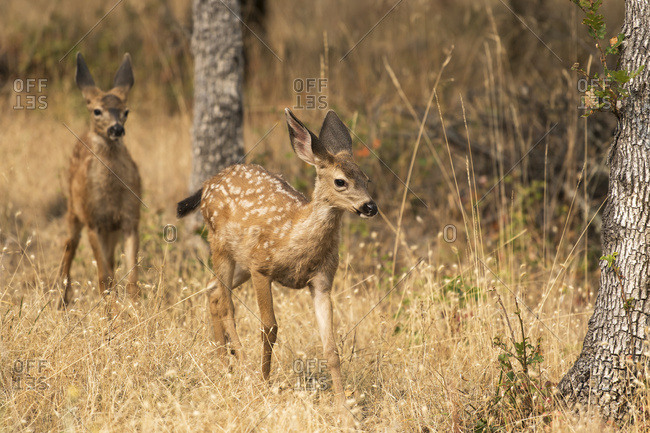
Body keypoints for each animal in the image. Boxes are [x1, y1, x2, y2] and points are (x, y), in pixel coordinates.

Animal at [59, 53, 141, 308]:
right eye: (97, 110)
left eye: (126, 111)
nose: (116, 129)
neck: (111, 196)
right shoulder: (93, 220)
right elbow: (103, 277)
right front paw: (111, 312)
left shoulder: (130, 218)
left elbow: (132, 277)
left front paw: (134, 311)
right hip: (73, 209)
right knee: (69, 244)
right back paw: (61, 298)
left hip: (110, 230)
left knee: (112, 262)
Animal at [177, 108, 377, 405]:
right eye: (340, 181)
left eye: (366, 178)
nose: (370, 206)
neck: (294, 236)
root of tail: (206, 185)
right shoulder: (262, 267)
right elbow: (269, 327)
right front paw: (263, 382)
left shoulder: (321, 282)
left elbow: (331, 348)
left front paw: (342, 405)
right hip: (220, 244)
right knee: (225, 303)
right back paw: (242, 365)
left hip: (241, 260)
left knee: (211, 290)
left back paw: (224, 362)